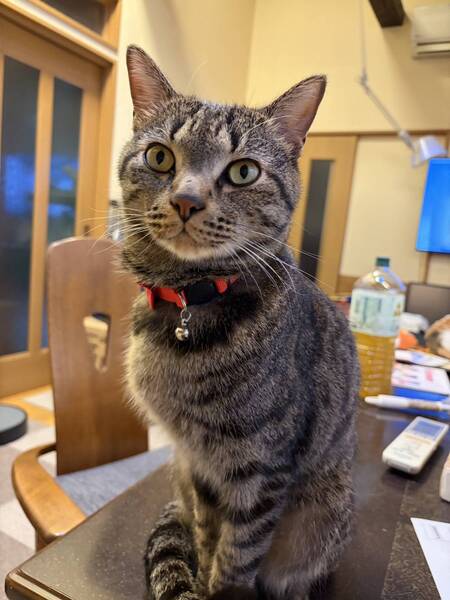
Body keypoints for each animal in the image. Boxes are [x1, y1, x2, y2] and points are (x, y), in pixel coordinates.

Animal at [119, 45, 359, 600]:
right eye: (160, 156)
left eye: (244, 171)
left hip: (326, 510)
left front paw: (221, 587)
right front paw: (204, 575)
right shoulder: (200, 463)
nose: (186, 200)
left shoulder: (261, 466)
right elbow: (210, 538)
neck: (189, 305)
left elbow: (238, 554)